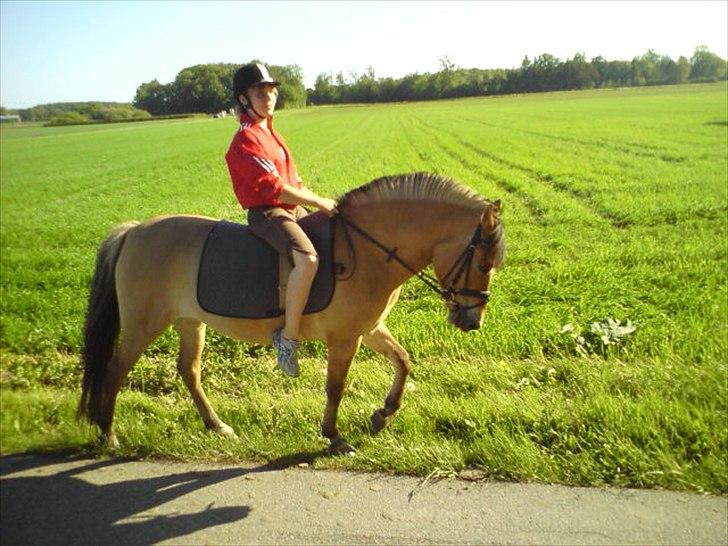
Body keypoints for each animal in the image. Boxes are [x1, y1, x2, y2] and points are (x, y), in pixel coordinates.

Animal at [78, 172, 506, 452]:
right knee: (115, 370)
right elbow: (336, 386)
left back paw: (217, 426)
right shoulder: (345, 338)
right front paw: (334, 436)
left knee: (189, 371)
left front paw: (382, 415)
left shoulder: (369, 329)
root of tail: (135, 231)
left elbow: (403, 361)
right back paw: (108, 434)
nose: (472, 322)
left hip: (189, 321)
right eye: (484, 262)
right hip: (143, 323)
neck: (370, 250)